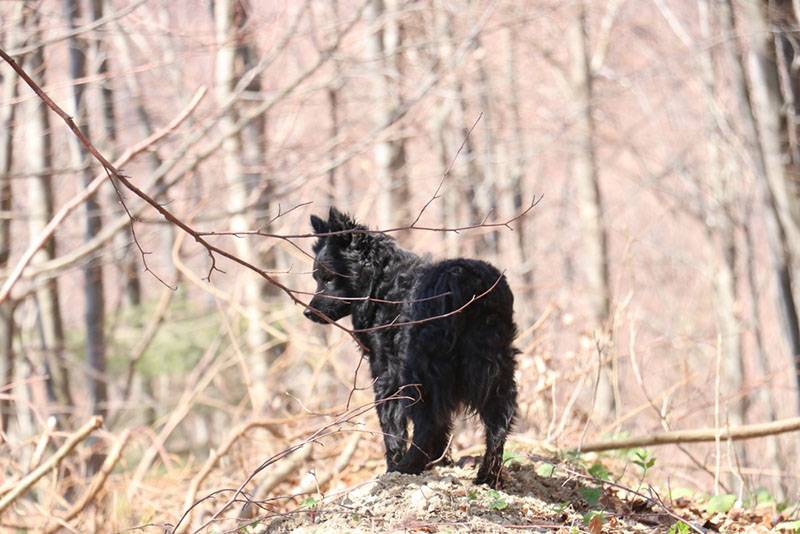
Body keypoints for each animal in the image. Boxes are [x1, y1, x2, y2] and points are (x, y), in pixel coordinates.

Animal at [302, 209, 520, 490]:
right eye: (316, 277)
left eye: (328, 278)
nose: (308, 313)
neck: (381, 284)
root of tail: (464, 281)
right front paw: (441, 461)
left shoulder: (386, 373)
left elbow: (391, 425)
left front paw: (395, 467)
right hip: (495, 366)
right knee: (499, 419)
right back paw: (488, 476)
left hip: (420, 371)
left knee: (430, 421)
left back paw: (408, 467)